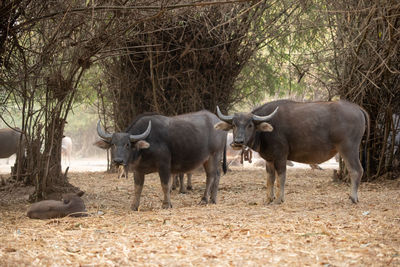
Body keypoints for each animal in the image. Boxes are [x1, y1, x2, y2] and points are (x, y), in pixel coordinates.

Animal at [95, 111, 227, 211]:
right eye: (113, 144)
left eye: (127, 144)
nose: (118, 160)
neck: (145, 148)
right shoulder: (138, 170)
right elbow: (137, 188)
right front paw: (134, 206)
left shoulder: (164, 166)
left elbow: (165, 185)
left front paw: (166, 204)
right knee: (217, 175)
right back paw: (213, 199)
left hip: (214, 155)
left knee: (211, 176)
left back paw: (205, 199)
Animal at [216, 99, 368, 204]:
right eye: (234, 125)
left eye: (250, 125)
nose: (238, 141)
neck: (266, 131)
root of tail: (357, 108)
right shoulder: (269, 159)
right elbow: (270, 178)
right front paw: (268, 198)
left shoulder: (281, 157)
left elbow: (281, 178)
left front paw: (279, 199)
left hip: (348, 148)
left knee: (356, 170)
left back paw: (353, 197)